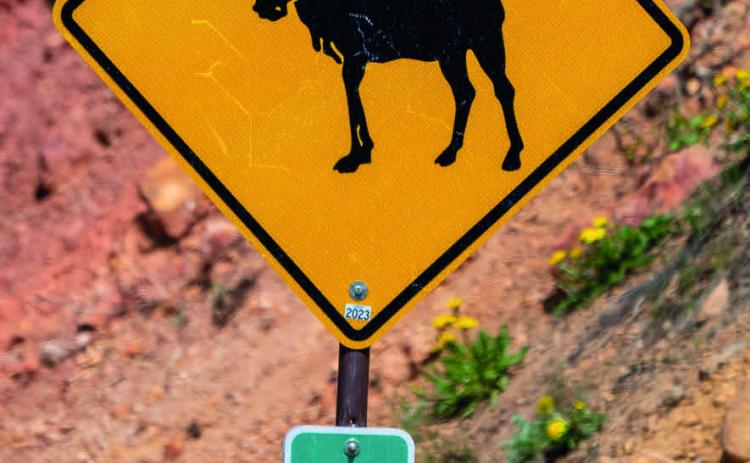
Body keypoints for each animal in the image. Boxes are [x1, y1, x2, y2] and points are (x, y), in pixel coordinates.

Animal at [253, 0, 524, 174]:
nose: (259, 8)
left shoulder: (355, 55)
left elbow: (352, 102)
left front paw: (354, 157)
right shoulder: (356, 58)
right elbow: (354, 100)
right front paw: (364, 151)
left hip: (476, 44)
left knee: (489, 91)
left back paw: (507, 154)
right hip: (459, 51)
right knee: (477, 91)